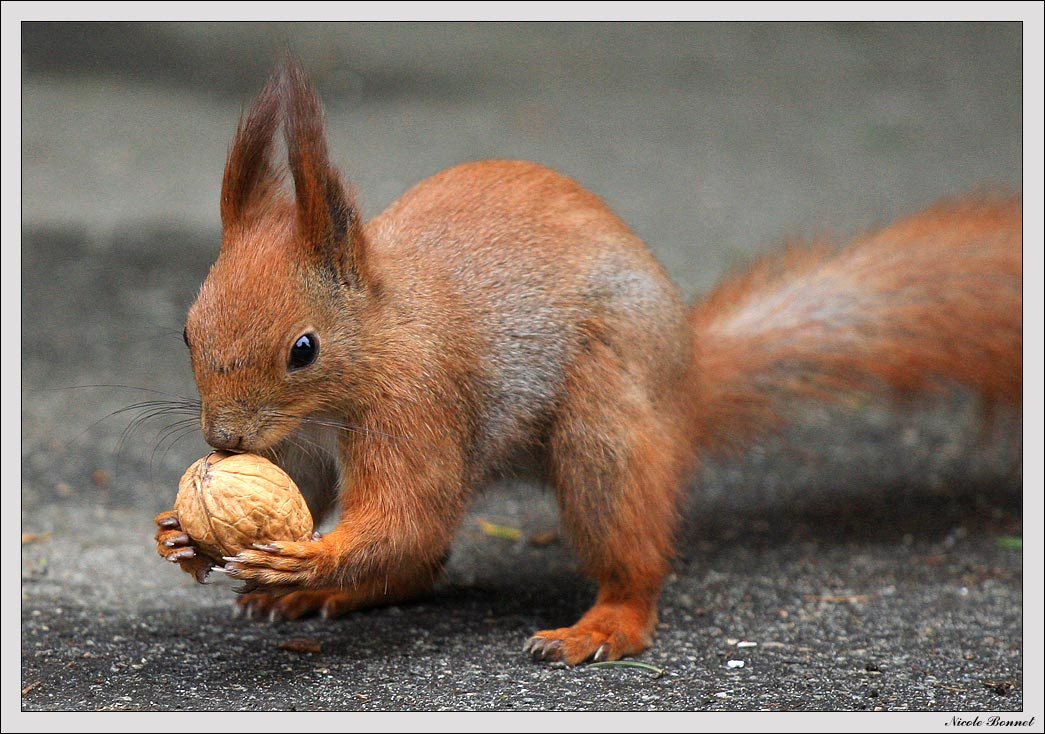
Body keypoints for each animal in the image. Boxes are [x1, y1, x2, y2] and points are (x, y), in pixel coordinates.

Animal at [154, 57, 1022, 665]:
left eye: (303, 349)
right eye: (188, 333)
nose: (223, 441)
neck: (379, 340)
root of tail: (686, 381)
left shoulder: (417, 404)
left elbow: (404, 516)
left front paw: (309, 556)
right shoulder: (295, 445)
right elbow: (309, 494)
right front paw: (181, 535)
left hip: (605, 425)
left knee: (616, 546)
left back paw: (604, 624)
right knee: (423, 564)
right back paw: (325, 599)